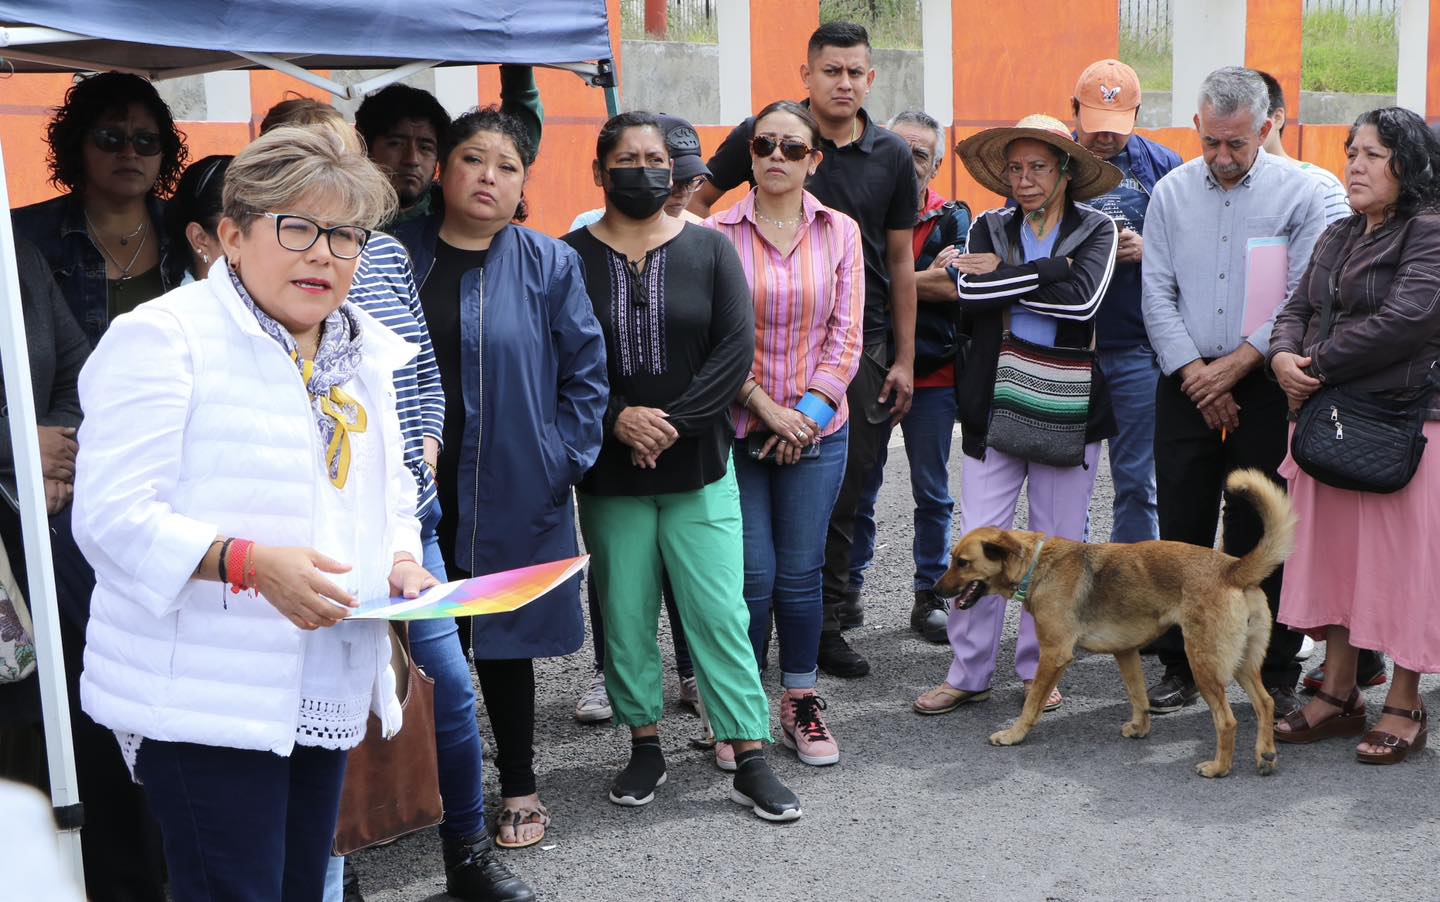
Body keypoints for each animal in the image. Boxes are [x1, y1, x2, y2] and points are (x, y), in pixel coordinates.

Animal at [933, 466, 1296, 778]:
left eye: (963, 562)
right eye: (952, 560)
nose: (935, 590)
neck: (1037, 563)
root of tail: (1233, 569)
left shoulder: (1054, 655)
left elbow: (1033, 702)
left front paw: (1014, 734)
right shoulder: (1126, 652)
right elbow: (1138, 697)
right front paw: (1140, 728)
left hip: (1204, 663)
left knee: (1227, 721)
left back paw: (1219, 767)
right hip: (1243, 663)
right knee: (1265, 702)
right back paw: (1265, 754)